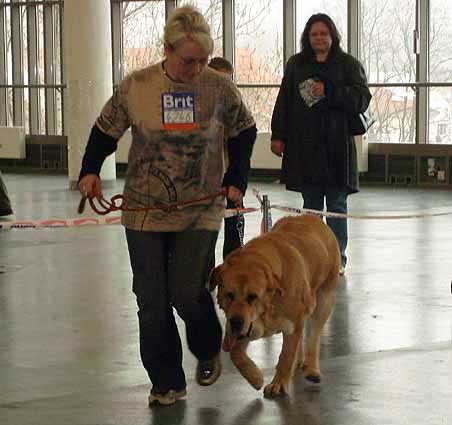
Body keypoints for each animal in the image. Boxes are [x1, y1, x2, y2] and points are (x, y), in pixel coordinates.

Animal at [210, 215, 340, 398]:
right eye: (229, 295)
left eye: (252, 297)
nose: (236, 322)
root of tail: (313, 217)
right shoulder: (247, 327)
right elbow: (235, 354)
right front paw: (255, 377)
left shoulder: (292, 323)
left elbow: (286, 356)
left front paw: (278, 384)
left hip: (324, 298)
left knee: (314, 336)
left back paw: (311, 368)